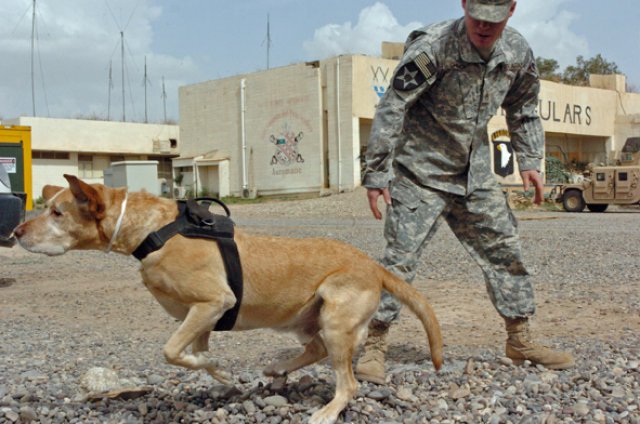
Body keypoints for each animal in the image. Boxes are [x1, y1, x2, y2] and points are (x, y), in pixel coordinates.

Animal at [16, 176, 444, 424]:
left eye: (57, 212)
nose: (16, 232)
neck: (152, 231)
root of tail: (374, 265)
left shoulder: (212, 303)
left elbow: (171, 351)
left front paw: (219, 369)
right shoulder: (202, 316)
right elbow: (195, 354)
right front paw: (220, 374)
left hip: (336, 320)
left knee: (348, 383)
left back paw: (326, 411)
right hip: (307, 319)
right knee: (316, 349)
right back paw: (278, 368)